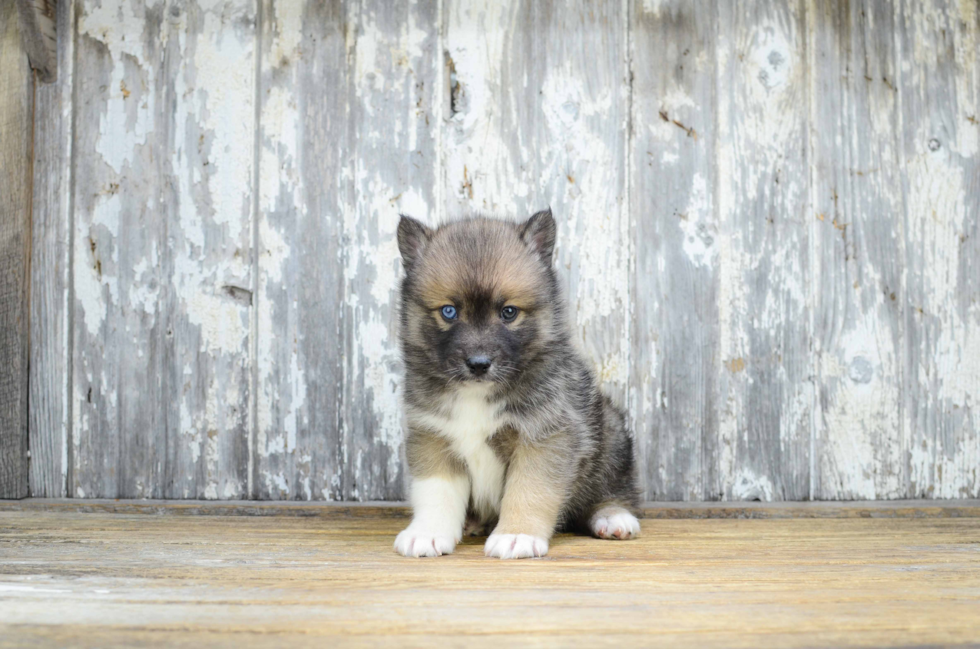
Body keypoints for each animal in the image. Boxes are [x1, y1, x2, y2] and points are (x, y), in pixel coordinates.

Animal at [394, 209, 640, 556]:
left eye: (509, 312)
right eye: (449, 311)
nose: (479, 364)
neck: (477, 394)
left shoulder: (545, 437)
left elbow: (529, 490)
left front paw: (517, 534)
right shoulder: (433, 436)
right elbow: (435, 492)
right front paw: (428, 532)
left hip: (611, 434)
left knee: (615, 488)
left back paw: (613, 516)